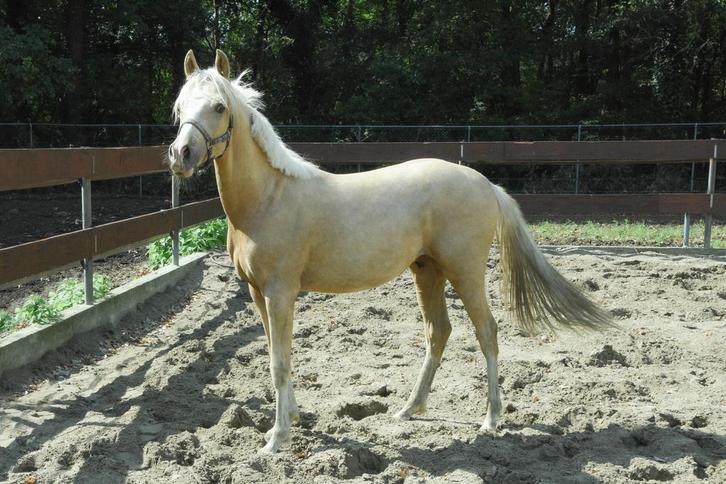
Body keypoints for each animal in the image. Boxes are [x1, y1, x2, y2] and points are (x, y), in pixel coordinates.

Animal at [168, 49, 613, 454]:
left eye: (219, 106)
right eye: (179, 107)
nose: (180, 155)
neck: (268, 199)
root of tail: (486, 184)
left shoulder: (280, 292)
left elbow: (280, 360)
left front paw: (277, 439)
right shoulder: (256, 292)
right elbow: (277, 353)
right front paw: (291, 419)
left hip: (465, 271)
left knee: (486, 332)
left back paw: (490, 419)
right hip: (427, 271)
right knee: (439, 333)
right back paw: (410, 408)